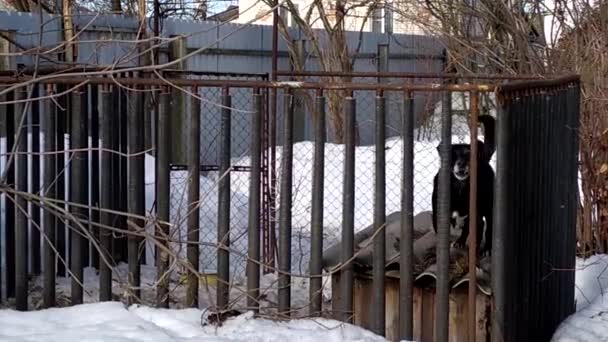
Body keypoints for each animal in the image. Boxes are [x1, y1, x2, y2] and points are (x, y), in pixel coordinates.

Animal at [432, 115, 494, 256]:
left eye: (469, 154)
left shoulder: (475, 215)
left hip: (488, 207)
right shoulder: (438, 213)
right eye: (453, 154)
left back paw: (486, 248)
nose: (461, 164)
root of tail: (484, 159)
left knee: (487, 227)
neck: (460, 187)